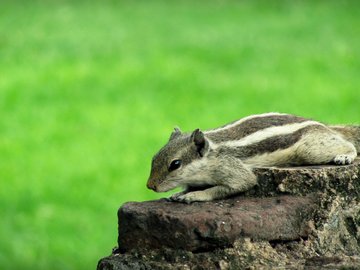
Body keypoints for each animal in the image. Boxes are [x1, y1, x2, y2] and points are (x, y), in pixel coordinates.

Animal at [146, 112, 358, 202]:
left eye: (175, 164)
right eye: (154, 158)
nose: (150, 186)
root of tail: (326, 127)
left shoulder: (231, 168)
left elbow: (238, 183)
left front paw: (194, 196)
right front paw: (180, 193)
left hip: (311, 150)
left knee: (348, 145)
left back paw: (345, 156)